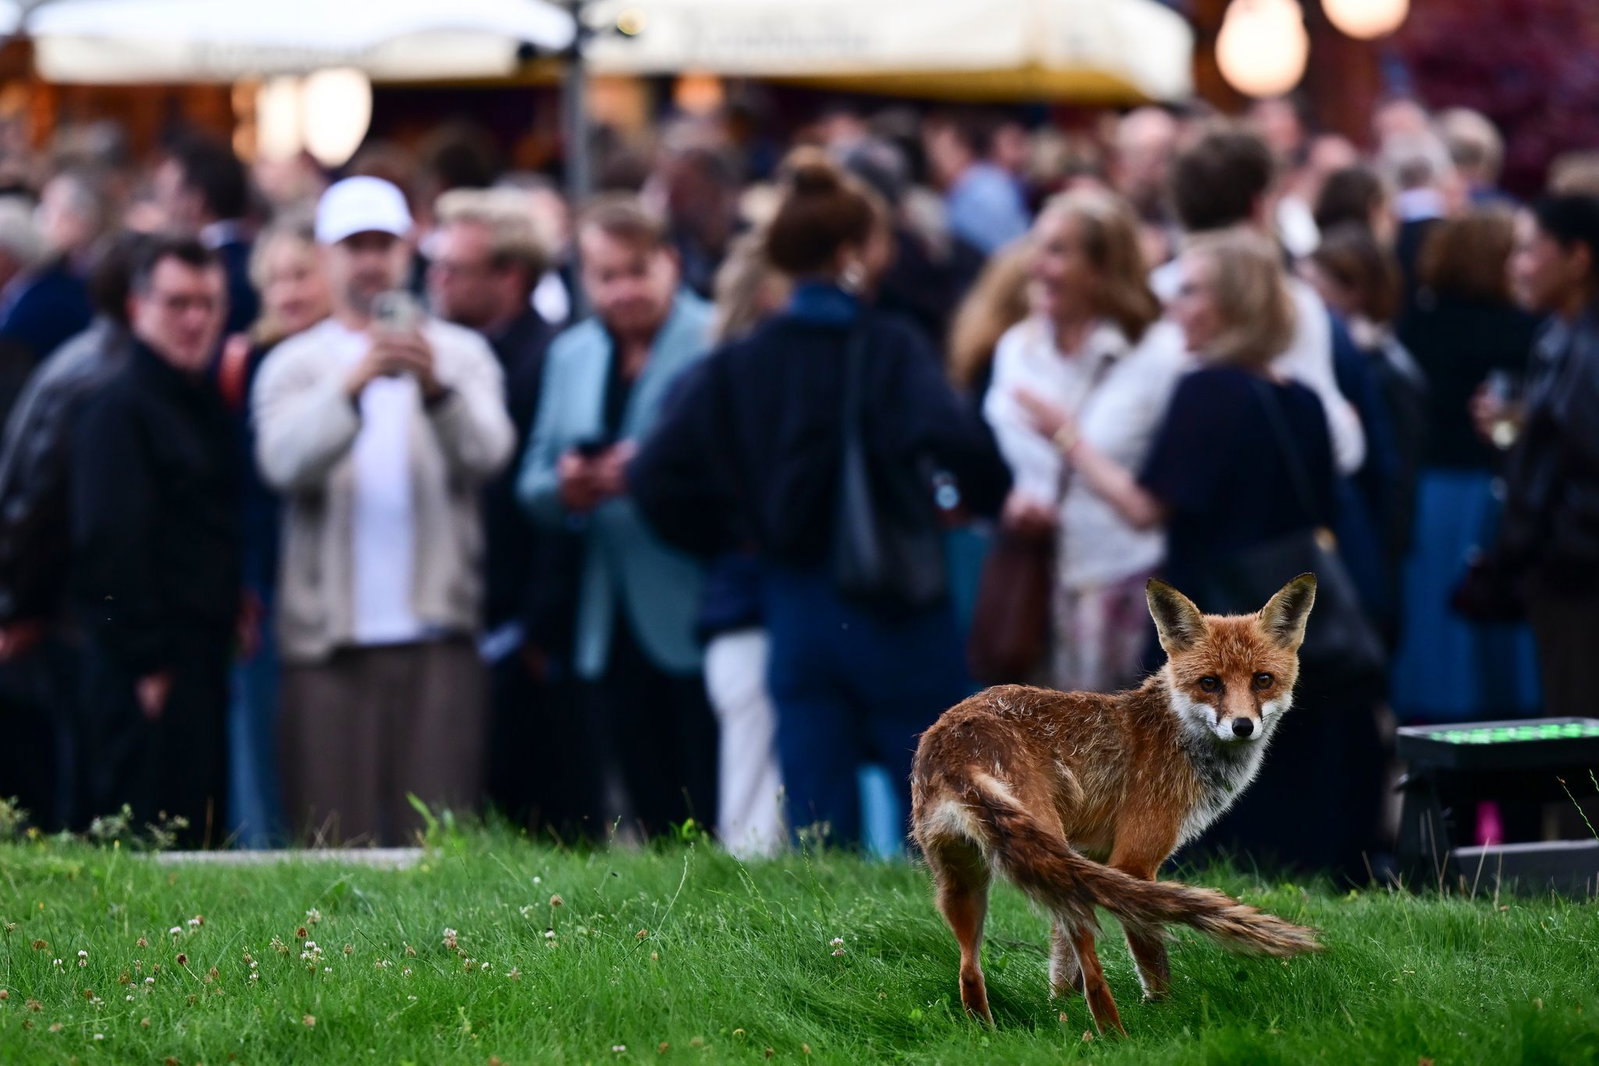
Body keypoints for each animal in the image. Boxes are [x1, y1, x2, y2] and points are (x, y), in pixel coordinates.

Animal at [910, 573, 1324, 1035]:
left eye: (1262, 679)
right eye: (1210, 683)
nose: (1242, 726)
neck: (1177, 733)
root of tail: (957, 742)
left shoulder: (1088, 857)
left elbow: (1060, 966)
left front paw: (1059, 1009)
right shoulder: (1133, 862)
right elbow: (1151, 958)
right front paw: (1162, 1010)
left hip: (968, 879)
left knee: (969, 970)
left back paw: (987, 1034)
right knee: (1092, 970)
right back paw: (1113, 1034)